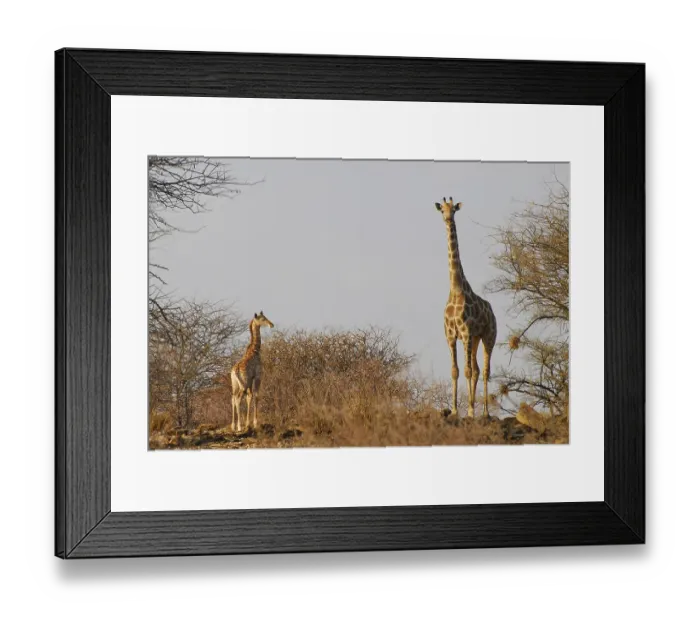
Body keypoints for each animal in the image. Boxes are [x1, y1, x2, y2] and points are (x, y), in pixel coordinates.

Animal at [436, 197, 497, 418]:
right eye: (442, 210)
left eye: (454, 209)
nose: (447, 218)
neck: (456, 289)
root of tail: (492, 311)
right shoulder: (451, 335)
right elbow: (456, 370)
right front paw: (454, 410)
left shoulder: (466, 332)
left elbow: (467, 371)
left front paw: (470, 411)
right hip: (476, 338)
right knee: (478, 369)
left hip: (488, 336)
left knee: (485, 370)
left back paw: (484, 412)